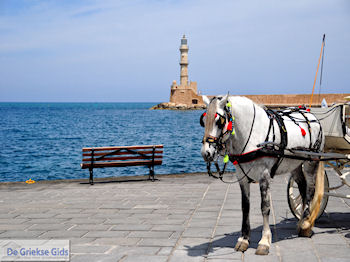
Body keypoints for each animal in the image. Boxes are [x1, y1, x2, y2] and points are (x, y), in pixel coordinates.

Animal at [201, 94, 324, 256]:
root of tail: (310, 114)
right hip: (294, 164)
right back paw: (302, 221)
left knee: (310, 189)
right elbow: (245, 207)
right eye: (203, 121)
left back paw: (305, 224)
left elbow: (265, 207)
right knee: (303, 188)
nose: (206, 153)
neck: (253, 135)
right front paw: (243, 239)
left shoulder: (264, 176)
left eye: (219, 121)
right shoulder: (242, 177)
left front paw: (264, 241)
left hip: (312, 161)